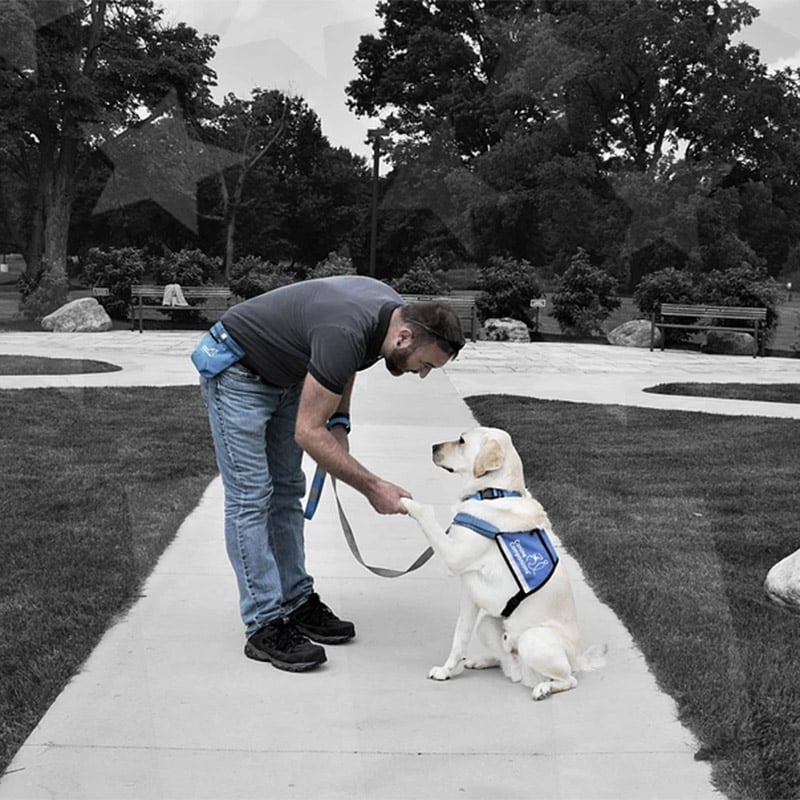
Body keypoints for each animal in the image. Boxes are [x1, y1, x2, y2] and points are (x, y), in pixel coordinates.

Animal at [404, 424, 604, 700]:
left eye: (462, 441)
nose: (433, 447)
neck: (493, 494)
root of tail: (578, 661)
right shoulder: (469, 595)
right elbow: (459, 638)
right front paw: (447, 671)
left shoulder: (454, 556)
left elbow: (426, 514)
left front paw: (406, 502)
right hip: (488, 623)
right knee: (504, 661)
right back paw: (482, 661)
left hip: (533, 639)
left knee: (568, 680)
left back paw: (544, 688)